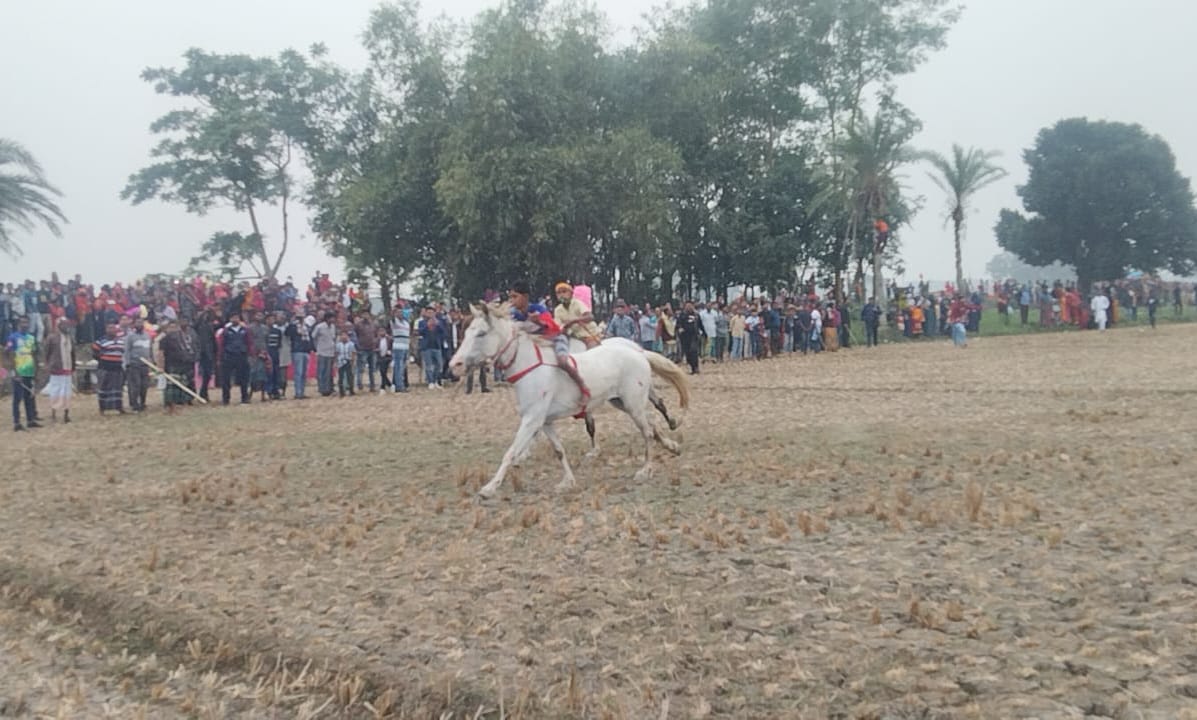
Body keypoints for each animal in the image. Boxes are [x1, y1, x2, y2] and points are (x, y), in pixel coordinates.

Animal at [450, 300, 694, 495]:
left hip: (634, 404)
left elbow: (510, 453)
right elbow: (559, 451)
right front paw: (567, 482)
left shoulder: (531, 420)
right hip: (623, 402)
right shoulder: (545, 421)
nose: (455, 365)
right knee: (652, 424)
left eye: (481, 333)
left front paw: (489, 488)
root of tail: (638, 352)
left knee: (648, 431)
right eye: (467, 331)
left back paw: (646, 469)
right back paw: (672, 446)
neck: (530, 368)